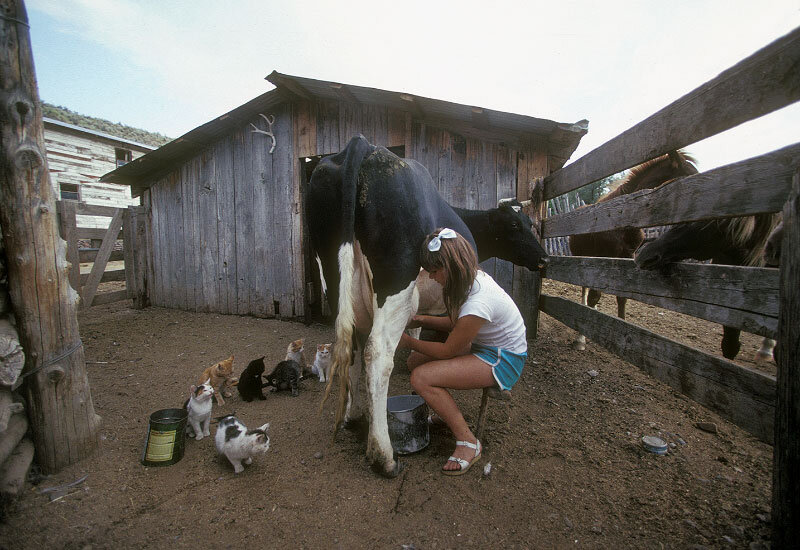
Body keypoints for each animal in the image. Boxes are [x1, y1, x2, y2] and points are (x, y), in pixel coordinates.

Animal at [308, 135, 552, 478]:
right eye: (515, 226)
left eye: (530, 222)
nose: (544, 258)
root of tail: (363, 145)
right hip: (396, 281)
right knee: (377, 354)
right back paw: (384, 456)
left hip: (333, 276)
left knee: (350, 345)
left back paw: (353, 418)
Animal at [568, 150, 692, 350]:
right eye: (690, 174)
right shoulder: (597, 261)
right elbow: (593, 296)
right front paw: (581, 337)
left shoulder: (625, 259)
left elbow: (622, 297)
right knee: (585, 291)